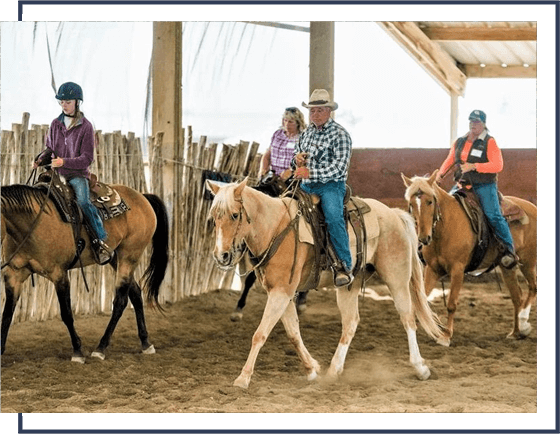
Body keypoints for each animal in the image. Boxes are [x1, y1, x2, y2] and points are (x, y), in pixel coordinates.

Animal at [1, 181, 170, 362]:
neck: (33, 223)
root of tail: (142, 197)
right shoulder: (13, 275)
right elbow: (7, 313)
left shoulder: (59, 274)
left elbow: (66, 313)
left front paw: (77, 351)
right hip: (116, 258)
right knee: (136, 293)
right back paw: (145, 343)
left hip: (130, 255)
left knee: (120, 301)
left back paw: (101, 348)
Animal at [205, 178, 442, 388]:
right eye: (214, 218)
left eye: (235, 215)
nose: (221, 256)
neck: (275, 228)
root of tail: (394, 213)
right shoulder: (281, 292)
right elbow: (293, 333)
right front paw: (312, 369)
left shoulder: (281, 292)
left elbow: (260, 334)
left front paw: (243, 378)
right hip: (350, 285)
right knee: (351, 322)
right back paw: (334, 370)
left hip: (397, 277)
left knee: (407, 318)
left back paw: (420, 367)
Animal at [402, 170, 540, 346]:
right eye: (411, 204)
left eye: (430, 201)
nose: (424, 238)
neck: (446, 228)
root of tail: (533, 208)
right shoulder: (433, 269)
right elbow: (422, 299)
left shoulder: (458, 270)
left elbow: (452, 304)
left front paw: (446, 336)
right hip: (506, 267)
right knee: (517, 297)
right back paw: (516, 332)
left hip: (528, 262)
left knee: (533, 287)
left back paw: (523, 321)